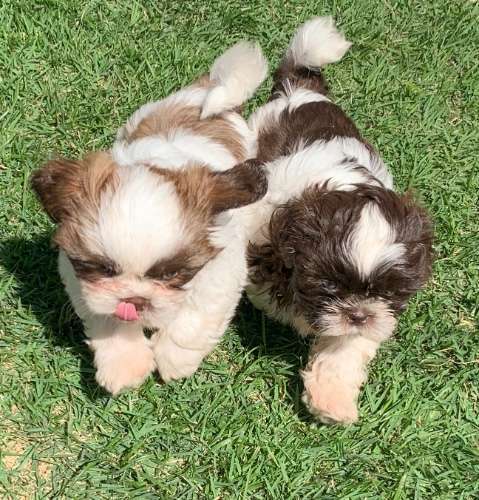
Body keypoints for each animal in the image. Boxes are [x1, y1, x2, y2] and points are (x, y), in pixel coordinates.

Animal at [31, 42, 268, 395]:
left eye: (170, 274)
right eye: (104, 269)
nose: (135, 298)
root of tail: (205, 89)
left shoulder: (222, 269)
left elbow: (196, 314)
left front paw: (173, 358)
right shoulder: (82, 282)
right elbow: (108, 317)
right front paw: (125, 364)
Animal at [240, 17, 433, 423]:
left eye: (388, 293)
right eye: (329, 286)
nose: (358, 313)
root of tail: (302, 89)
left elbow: (345, 349)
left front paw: (331, 399)